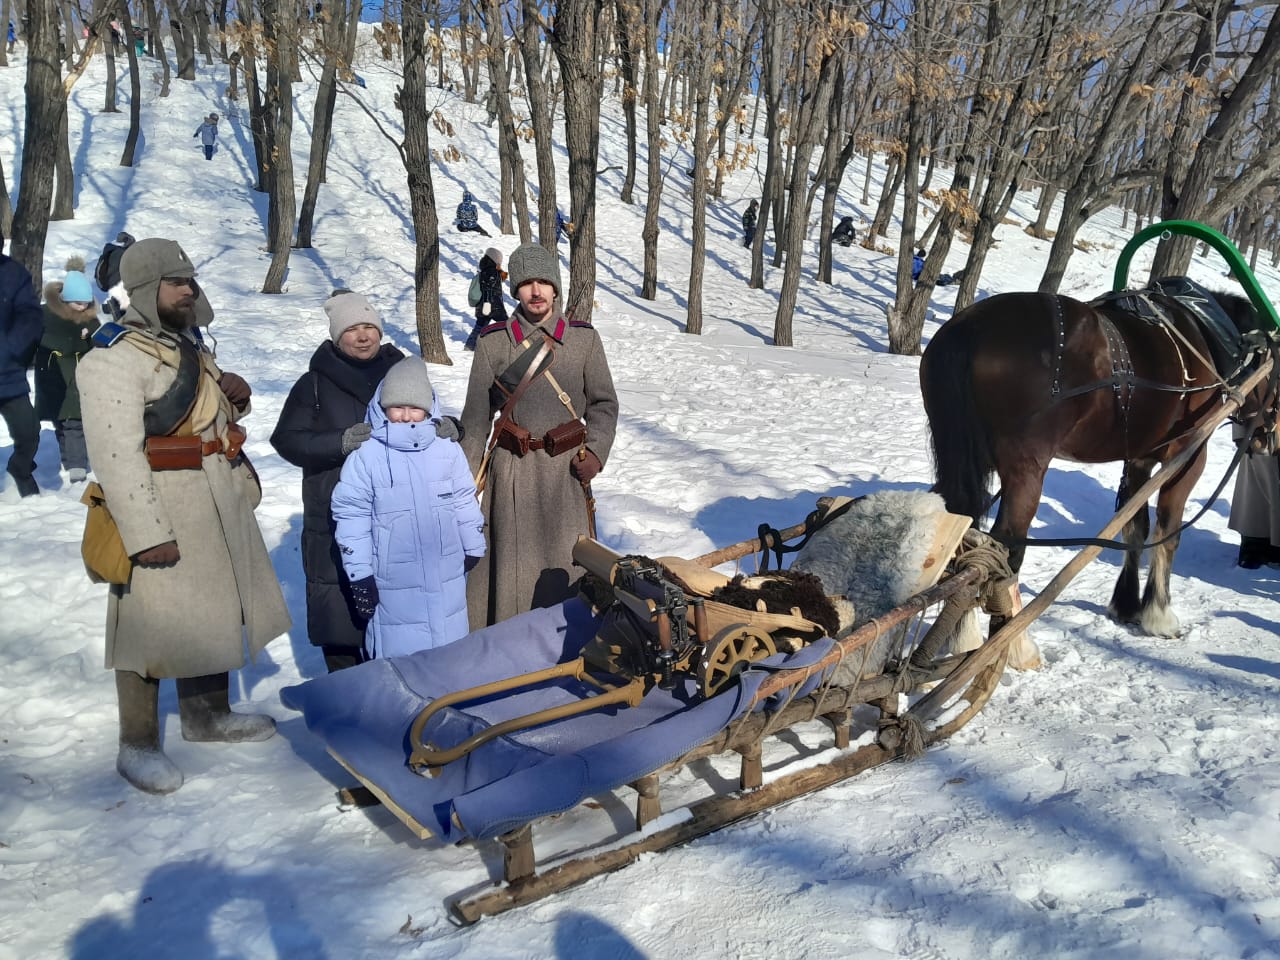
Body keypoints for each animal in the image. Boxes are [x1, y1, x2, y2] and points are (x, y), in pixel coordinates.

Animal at [921, 281, 1269, 634]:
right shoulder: (1188, 455)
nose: (1265, 438)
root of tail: (972, 326)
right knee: (1005, 549)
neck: (1204, 329)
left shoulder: (1139, 460)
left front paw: (1127, 605)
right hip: (1026, 472)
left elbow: (1135, 528)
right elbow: (1167, 533)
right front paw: (1158, 614)